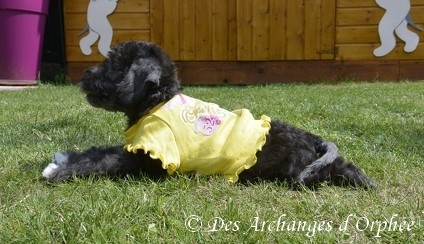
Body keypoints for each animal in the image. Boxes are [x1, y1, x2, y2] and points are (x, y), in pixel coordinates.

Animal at [42, 41, 374, 189]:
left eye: (112, 66)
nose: (84, 76)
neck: (155, 102)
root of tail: (315, 139)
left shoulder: (147, 160)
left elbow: (104, 161)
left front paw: (60, 172)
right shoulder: (135, 148)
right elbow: (100, 150)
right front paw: (63, 159)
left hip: (295, 168)